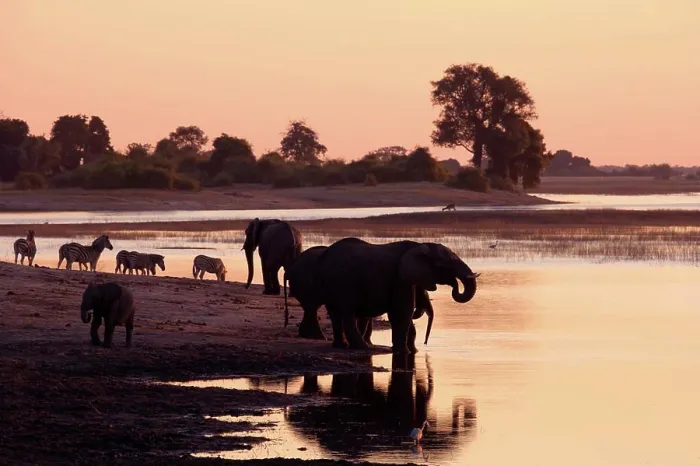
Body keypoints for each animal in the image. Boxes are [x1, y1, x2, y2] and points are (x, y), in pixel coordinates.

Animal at [316, 238, 480, 356]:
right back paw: (365, 347)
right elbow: (403, 311)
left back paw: (341, 346)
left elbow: (398, 313)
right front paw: (404, 352)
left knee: (335, 314)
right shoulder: (399, 278)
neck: (419, 246)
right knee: (347, 313)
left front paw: (410, 351)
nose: (454, 284)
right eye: (447, 264)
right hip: (342, 282)